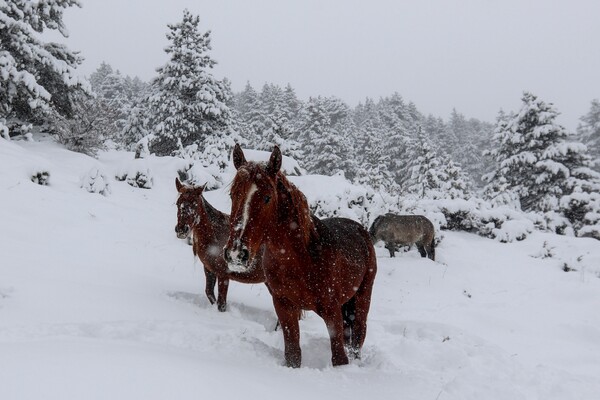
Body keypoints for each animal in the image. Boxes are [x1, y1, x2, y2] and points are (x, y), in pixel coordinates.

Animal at [176, 178, 264, 312]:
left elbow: (221, 303)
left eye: (195, 204)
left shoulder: (223, 275)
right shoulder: (209, 269)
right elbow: (210, 293)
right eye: (178, 203)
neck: (215, 237)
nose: (181, 230)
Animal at [223, 145, 378, 368]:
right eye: (233, 195)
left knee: (357, 339)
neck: (299, 260)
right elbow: (293, 353)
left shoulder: (331, 311)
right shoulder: (284, 307)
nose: (236, 253)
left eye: (267, 197)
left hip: (362, 299)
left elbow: (339, 357)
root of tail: (360, 230)